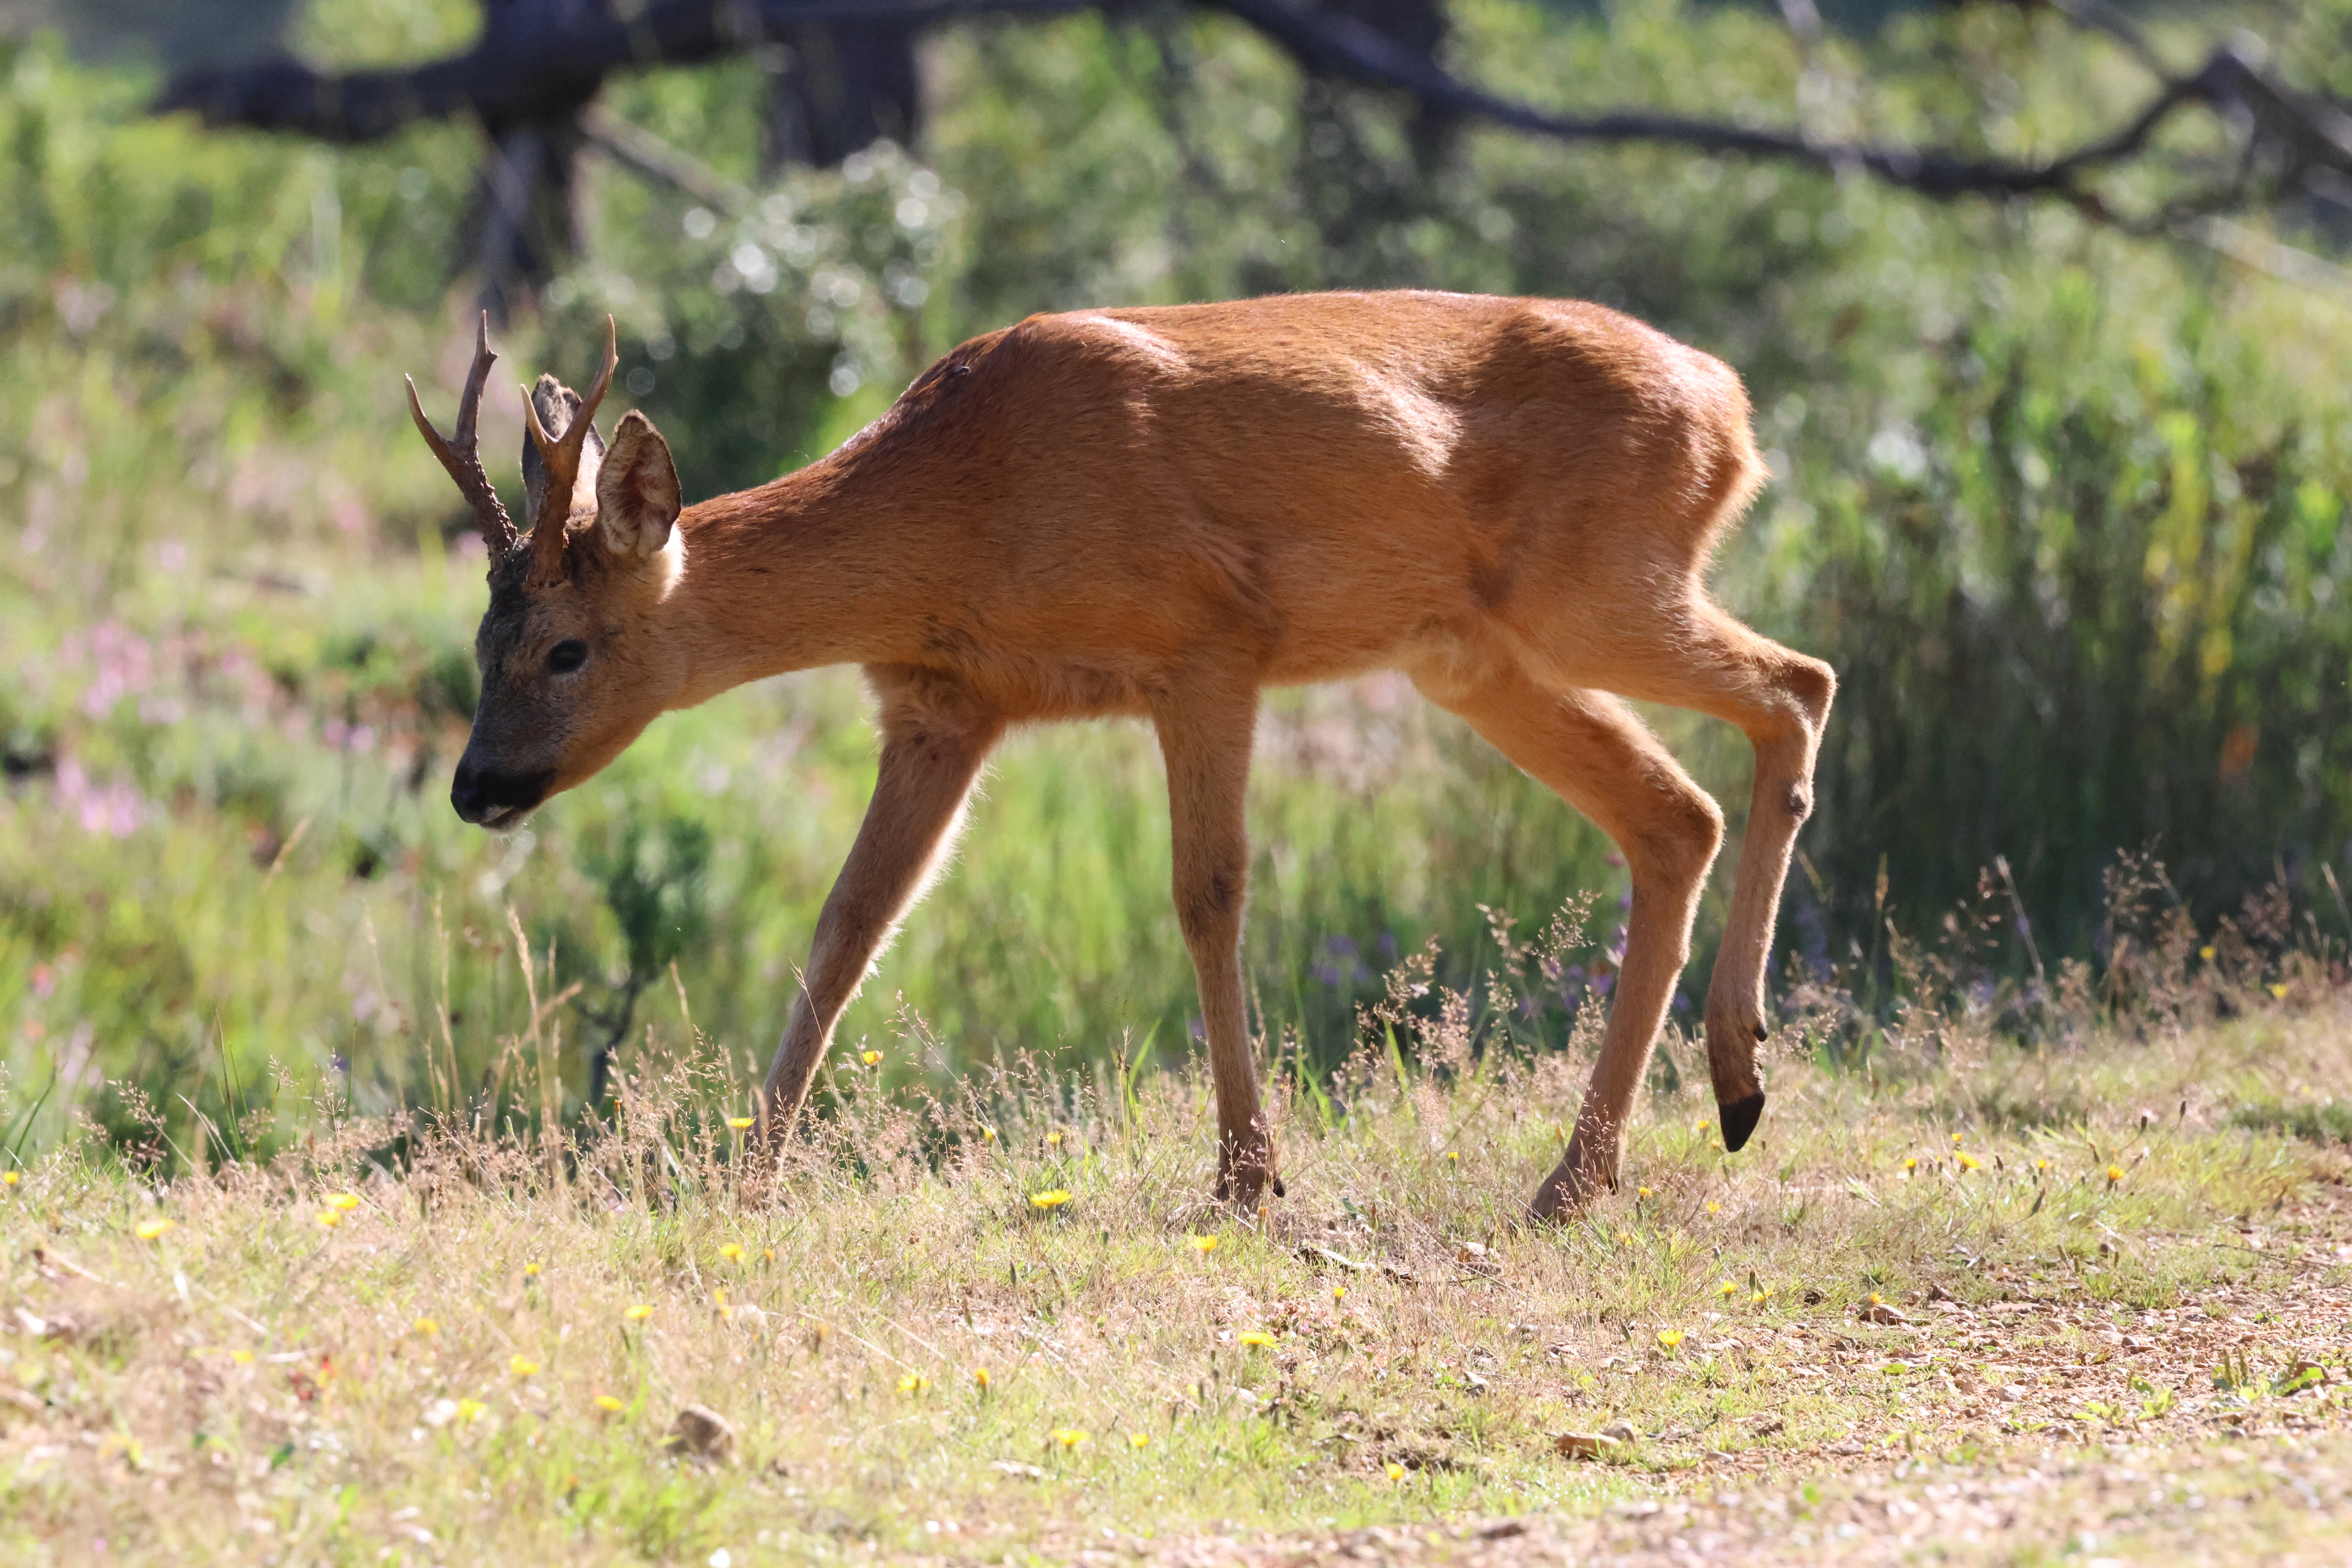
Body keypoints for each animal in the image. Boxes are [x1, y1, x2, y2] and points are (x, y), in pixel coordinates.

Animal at [406, 291, 1833, 1218]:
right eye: (480, 638)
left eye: (566, 649)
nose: (475, 789)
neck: (960, 508)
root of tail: (1735, 405)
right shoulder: (943, 703)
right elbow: (850, 922)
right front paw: (746, 1177)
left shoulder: (1204, 643)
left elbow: (1207, 894)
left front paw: (1249, 1174)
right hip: (1476, 653)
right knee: (1674, 813)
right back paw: (1594, 1167)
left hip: (1596, 587)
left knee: (1795, 689)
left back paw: (1733, 1070)